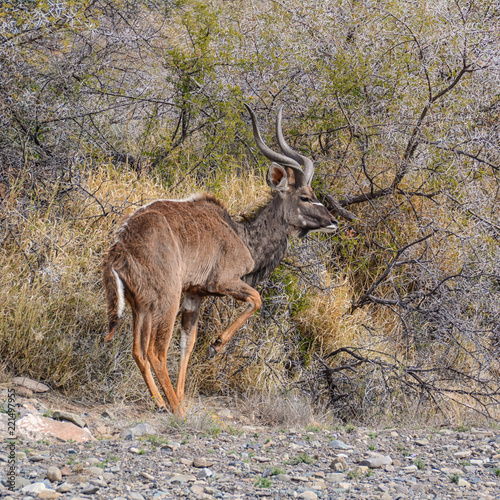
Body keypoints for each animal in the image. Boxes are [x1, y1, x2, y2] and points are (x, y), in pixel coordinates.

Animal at [103, 105, 338, 414]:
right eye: (306, 197)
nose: (333, 221)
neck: (241, 235)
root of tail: (119, 248)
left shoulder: (195, 295)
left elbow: (187, 344)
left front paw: (183, 394)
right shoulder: (223, 282)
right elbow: (256, 300)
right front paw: (214, 347)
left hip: (140, 306)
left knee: (139, 351)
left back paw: (163, 403)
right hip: (166, 298)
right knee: (155, 350)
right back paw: (175, 410)